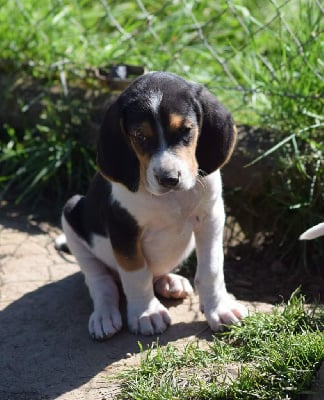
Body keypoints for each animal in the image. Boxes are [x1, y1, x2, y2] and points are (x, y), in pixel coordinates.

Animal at [59, 72, 248, 340]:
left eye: (186, 130)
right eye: (140, 136)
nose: (169, 178)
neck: (170, 198)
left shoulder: (211, 217)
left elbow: (211, 268)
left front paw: (219, 308)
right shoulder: (124, 230)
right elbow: (137, 275)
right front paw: (146, 313)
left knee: (155, 273)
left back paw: (169, 281)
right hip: (72, 214)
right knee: (101, 282)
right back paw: (104, 315)